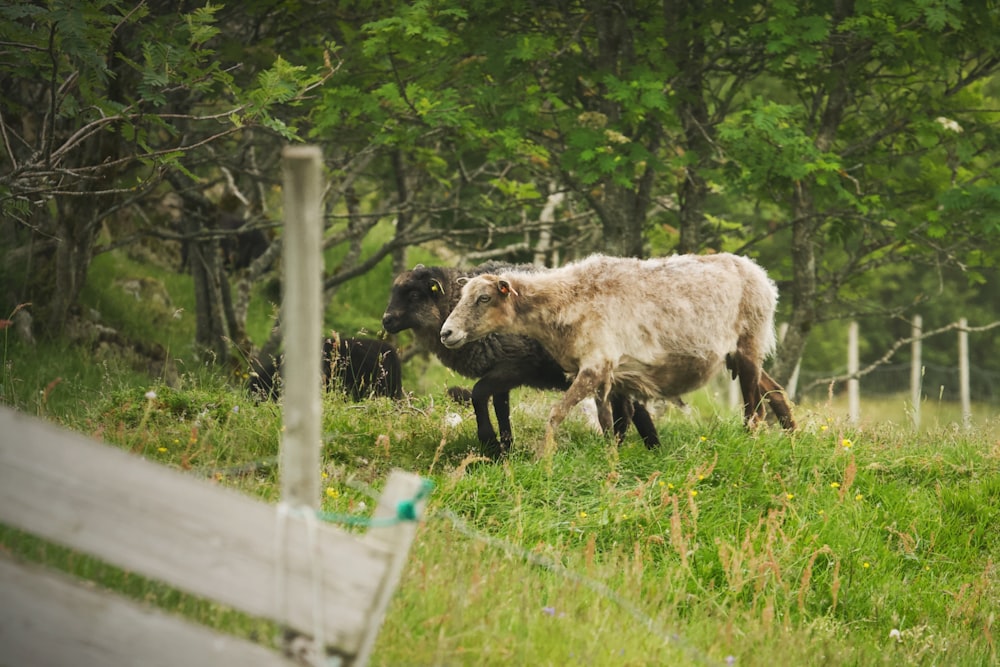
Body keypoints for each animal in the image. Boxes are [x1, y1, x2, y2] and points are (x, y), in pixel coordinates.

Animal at [378, 260, 660, 460]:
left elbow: (478, 394)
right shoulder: (500, 370)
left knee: (628, 409)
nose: (386, 320)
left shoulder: (514, 365)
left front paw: (490, 443)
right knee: (634, 408)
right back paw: (651, 448)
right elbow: (501, 407)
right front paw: (506, 447)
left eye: (414, 295)